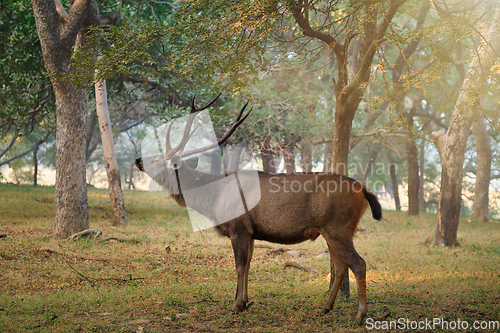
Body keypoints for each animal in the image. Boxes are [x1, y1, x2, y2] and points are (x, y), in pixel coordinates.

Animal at [135, 94, 380, 322]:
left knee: (358, 263)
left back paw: (360, 314)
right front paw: (245, 301)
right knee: (340, 267)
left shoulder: (238, 227)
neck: (214, 198)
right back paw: (325, 307)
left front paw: (235, 305)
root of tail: (363, 190)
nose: (137, 159)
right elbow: (248, 264)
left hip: (338, 227)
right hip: (330, 231)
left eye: (156, 160)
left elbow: (239, 266)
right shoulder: (251, 232)